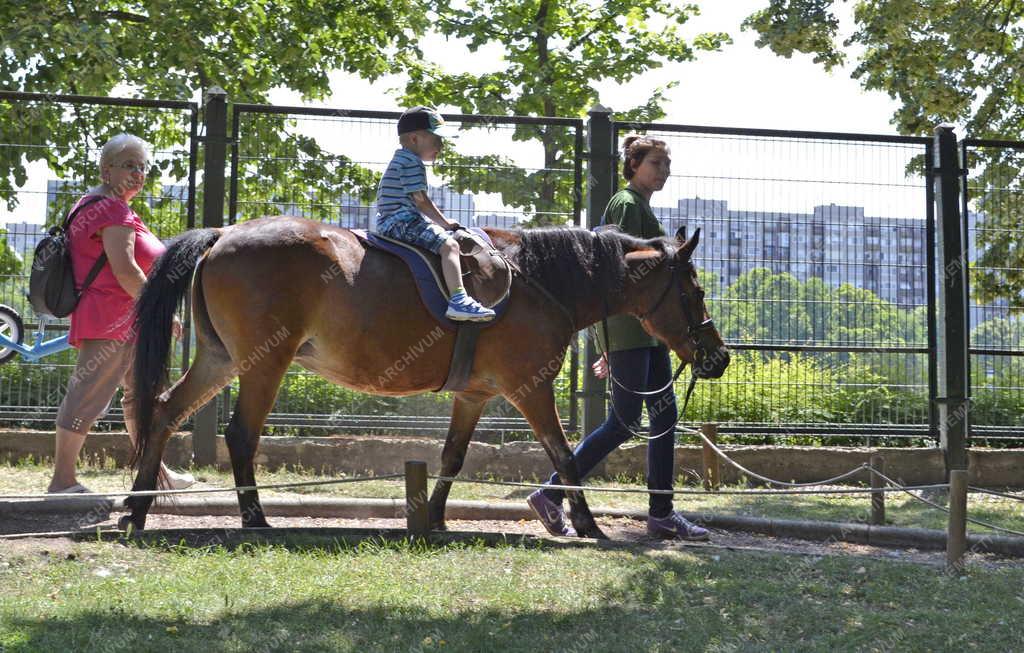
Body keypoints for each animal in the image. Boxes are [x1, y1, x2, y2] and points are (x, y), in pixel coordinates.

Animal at [121, 216, 729, 540]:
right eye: (695, 291)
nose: (718, 357)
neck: (540, 279)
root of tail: (225, 232)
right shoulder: (531, 388)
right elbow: (564, 453)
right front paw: (587, 524)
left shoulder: (475, 395)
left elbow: (453, 457)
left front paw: (433, 518)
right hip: (263, 364)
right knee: (240, 435)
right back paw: (253, 517)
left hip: (220, 359)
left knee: (165, 411)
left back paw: (138, 506)